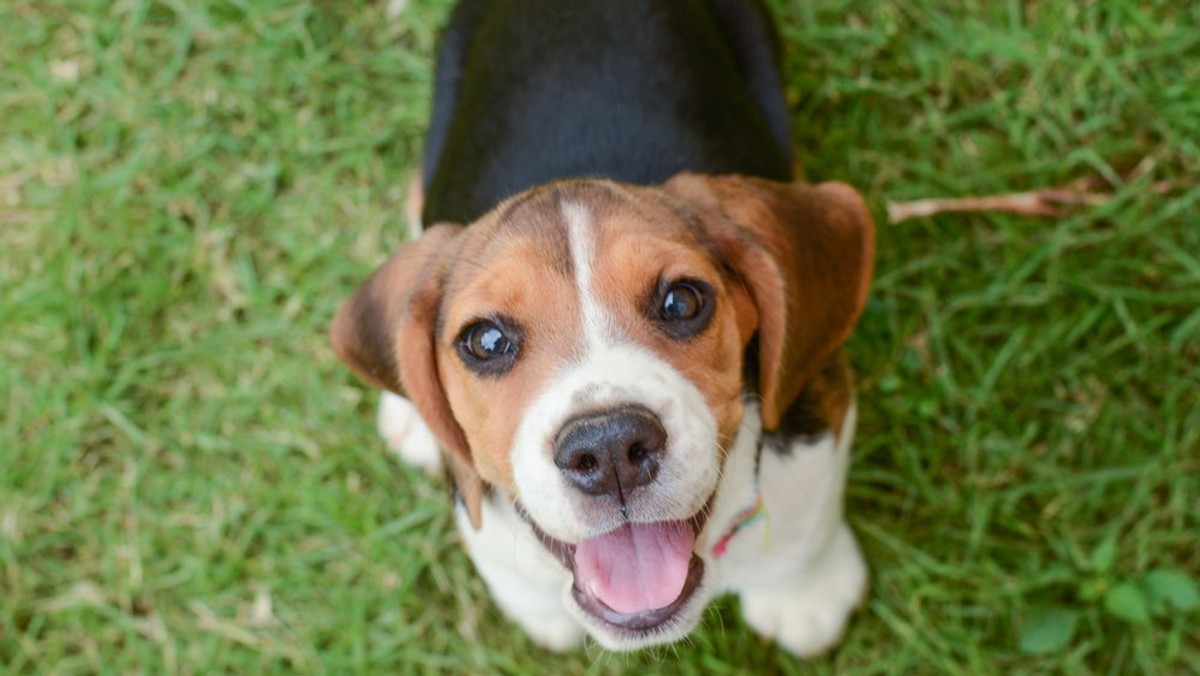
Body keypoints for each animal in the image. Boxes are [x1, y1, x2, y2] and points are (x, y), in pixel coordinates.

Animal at [333, 0, 878, 657]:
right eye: (486, 341)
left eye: (682, 301)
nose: (610, 447)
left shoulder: (816, 408)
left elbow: (807, 519)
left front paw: (805, 595)